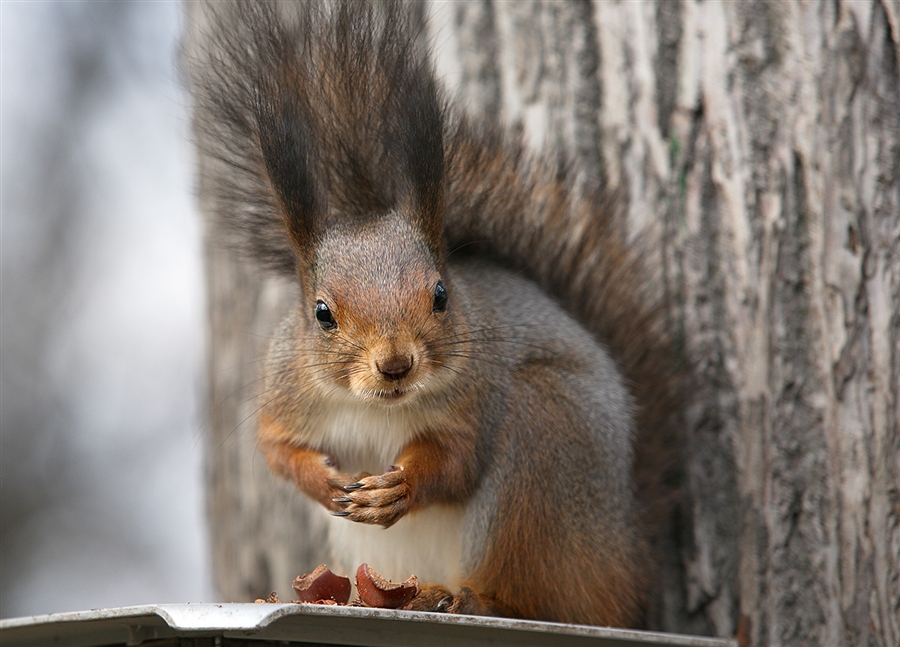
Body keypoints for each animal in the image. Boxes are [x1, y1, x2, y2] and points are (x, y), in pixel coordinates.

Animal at [188, 0, 684, 628]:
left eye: (442, 296)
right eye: (321, 313)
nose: (396, 365)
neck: (375, 409)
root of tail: (628, 559)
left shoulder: (474, 399)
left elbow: (457, 462)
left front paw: (399, 489)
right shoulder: (286, 390)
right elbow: (276, 449)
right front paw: (322, 481)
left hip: (546, 444)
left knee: (545, 595)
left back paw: (478, 598)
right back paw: (418, 594)